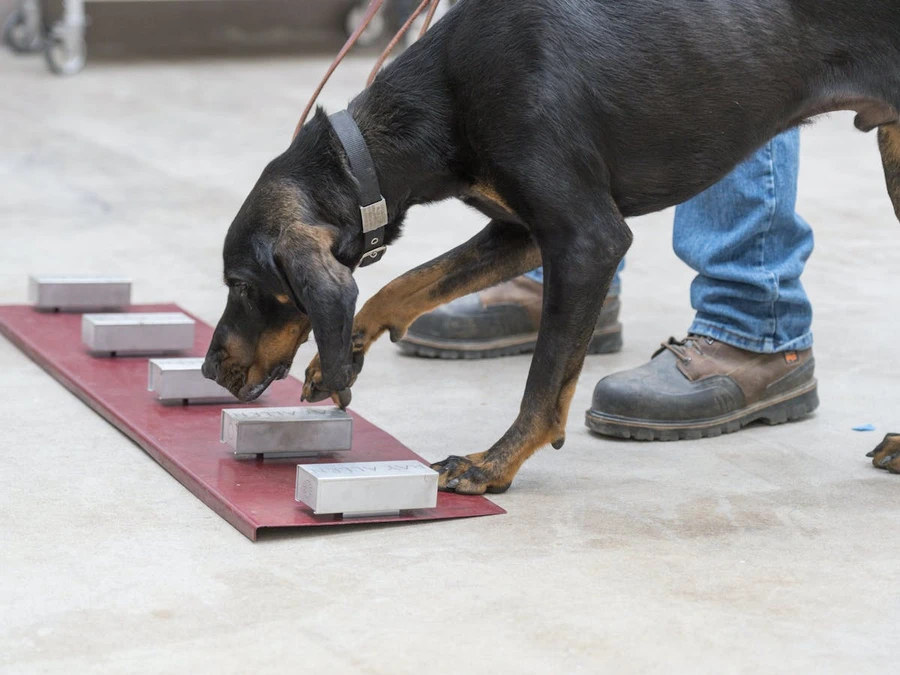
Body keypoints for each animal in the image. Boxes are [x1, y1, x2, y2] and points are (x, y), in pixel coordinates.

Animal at [200, 1, 900, 496]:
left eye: (242, 287)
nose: (208, 370)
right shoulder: (524, 234)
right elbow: (409, 281)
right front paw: (341, 351)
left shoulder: (588, 239)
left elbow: (543, 382)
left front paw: (491, 465)